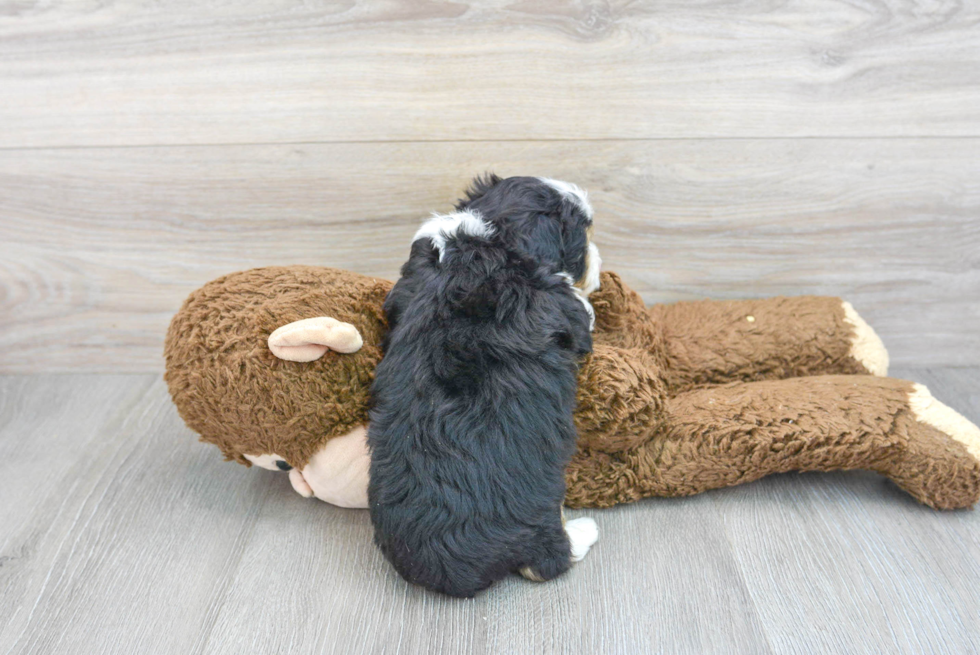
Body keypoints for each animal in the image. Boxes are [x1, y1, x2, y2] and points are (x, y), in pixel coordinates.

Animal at [366, 176, 596, 600]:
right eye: (582, 238)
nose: (598, 264)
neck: (491, 233)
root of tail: (449, 571)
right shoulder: (562, 305)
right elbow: (582, 314)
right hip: (540, 517)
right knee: (546, 563)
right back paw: (582, 531)